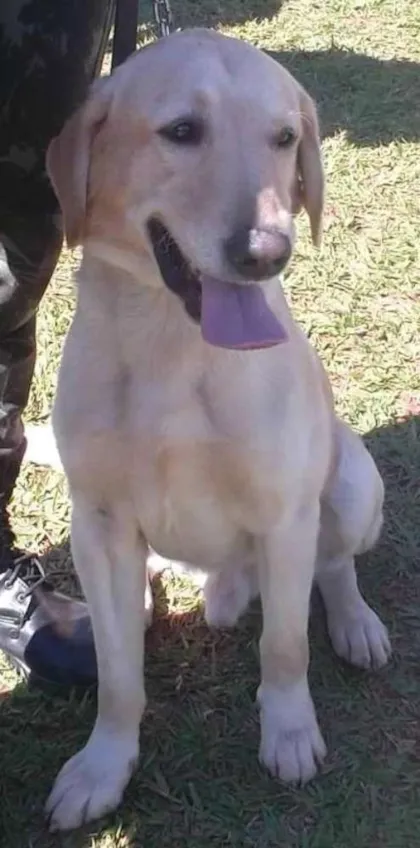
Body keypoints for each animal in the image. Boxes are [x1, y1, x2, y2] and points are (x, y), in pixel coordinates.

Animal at [44, 29, 391, 830]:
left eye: (285, 138)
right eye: (181, 131)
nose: (267, 251)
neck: (174, 345)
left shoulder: (287, 515)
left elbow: (286, 646)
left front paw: (289, 733)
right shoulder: (99, 516)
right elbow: (118, 679)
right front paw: (103, 766)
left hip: (356, 483)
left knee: (334, 566)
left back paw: (354, 622)